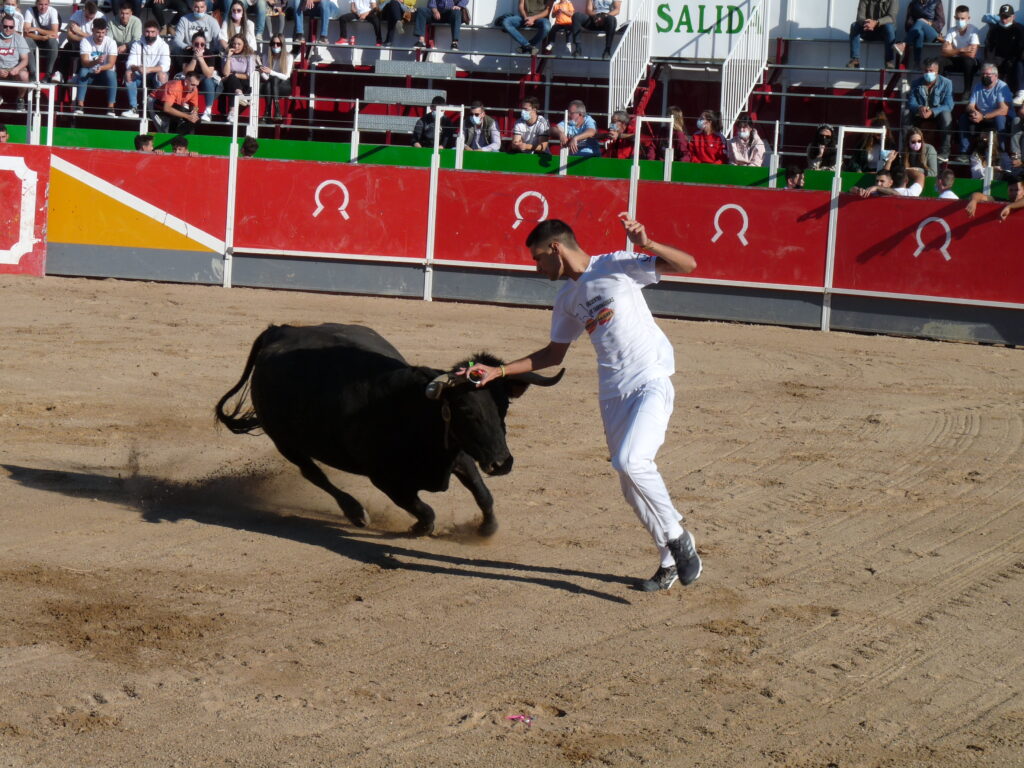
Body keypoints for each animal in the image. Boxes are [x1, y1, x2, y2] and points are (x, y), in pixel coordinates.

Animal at [212, 323, 565, 536]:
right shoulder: (385, 479)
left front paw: (486, 529)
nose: (502, 463)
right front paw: (418, 529)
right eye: (465, 409)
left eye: (504, 406)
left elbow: (483, 494)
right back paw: (356, 513)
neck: (414, 412)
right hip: (285, 441)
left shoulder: (458, 454)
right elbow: (424, 509)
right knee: (313, 474)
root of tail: (281, 330)